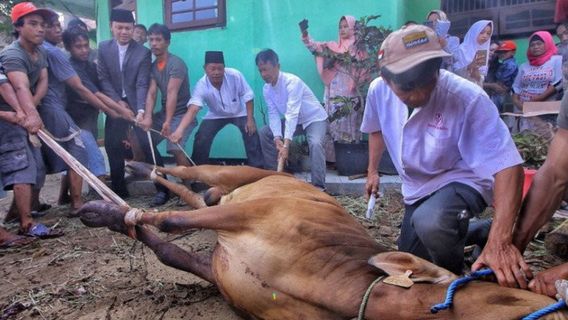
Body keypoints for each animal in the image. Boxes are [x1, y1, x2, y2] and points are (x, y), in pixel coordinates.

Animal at [79, 165, 568, 320]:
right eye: (510, 289)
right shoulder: (253, 214)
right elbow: (170, 222)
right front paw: (107, 213)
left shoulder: (219, 270)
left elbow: (168, 246)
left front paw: (111, 215)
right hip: (236, 176)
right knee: (190, 175)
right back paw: (142, 168)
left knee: (195, 192)